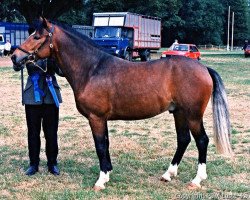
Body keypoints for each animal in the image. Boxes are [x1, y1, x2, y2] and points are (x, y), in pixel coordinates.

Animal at [10, 17, 231, 191]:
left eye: (37, 37)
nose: (14, 56)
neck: (92, 69)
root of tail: (203, 68)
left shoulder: (96, 118)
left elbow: (100, 145)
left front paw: (100, 181)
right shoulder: (102, 119)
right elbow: (106, 144)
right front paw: (107, 173)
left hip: (193, 115)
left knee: (202, 140)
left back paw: (197, 179)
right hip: (179, 113)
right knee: (183, 140)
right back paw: (168, 174)